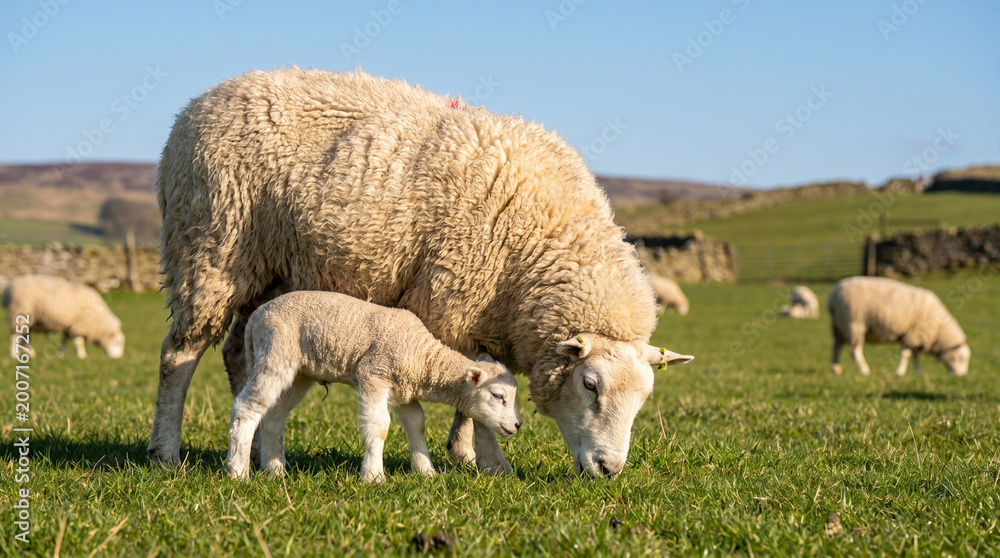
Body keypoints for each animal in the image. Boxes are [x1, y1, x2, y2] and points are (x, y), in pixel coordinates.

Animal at [226, 291, 522, 482]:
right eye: (498, 396)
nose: (518, 425)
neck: (422, 356)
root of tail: (257, 316)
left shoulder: (405, 392)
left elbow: (417, 424)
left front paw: (426, 472)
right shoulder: (373, 375)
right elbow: (379, 427)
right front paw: (373, 476)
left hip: (298, 373)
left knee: (274, 416)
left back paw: (275, 471)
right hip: (275, 353)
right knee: (245, 408)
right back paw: (238, 472)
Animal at [827, 276, 970, 376]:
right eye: (961, 358)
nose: (962, 376)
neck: (939, 331)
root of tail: (832, 297)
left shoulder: (917, 336)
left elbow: (915, 355)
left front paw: (917, 372)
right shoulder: (913, 333)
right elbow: (906, 354)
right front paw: (900, 372)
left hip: (838, 324)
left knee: (836, 346)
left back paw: (836, 368)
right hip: (854, 324)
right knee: (854, 350)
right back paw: (864, 370)